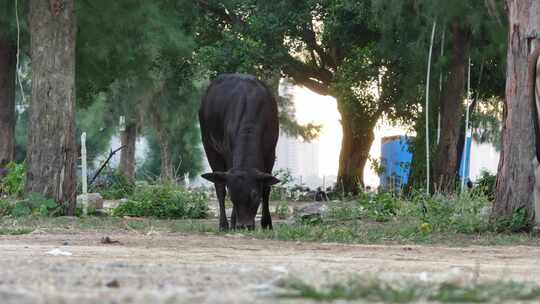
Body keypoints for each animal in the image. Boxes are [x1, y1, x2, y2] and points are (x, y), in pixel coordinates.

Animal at [200, 73, 280, 230]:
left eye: (255, 194)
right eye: (233, 196)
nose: (244, 225)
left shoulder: (270, 152)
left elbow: (267, 188)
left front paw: (266, 223)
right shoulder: (227, 151)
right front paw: (233, 221)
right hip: (209, 146)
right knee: (219, 187)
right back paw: (224, 224)